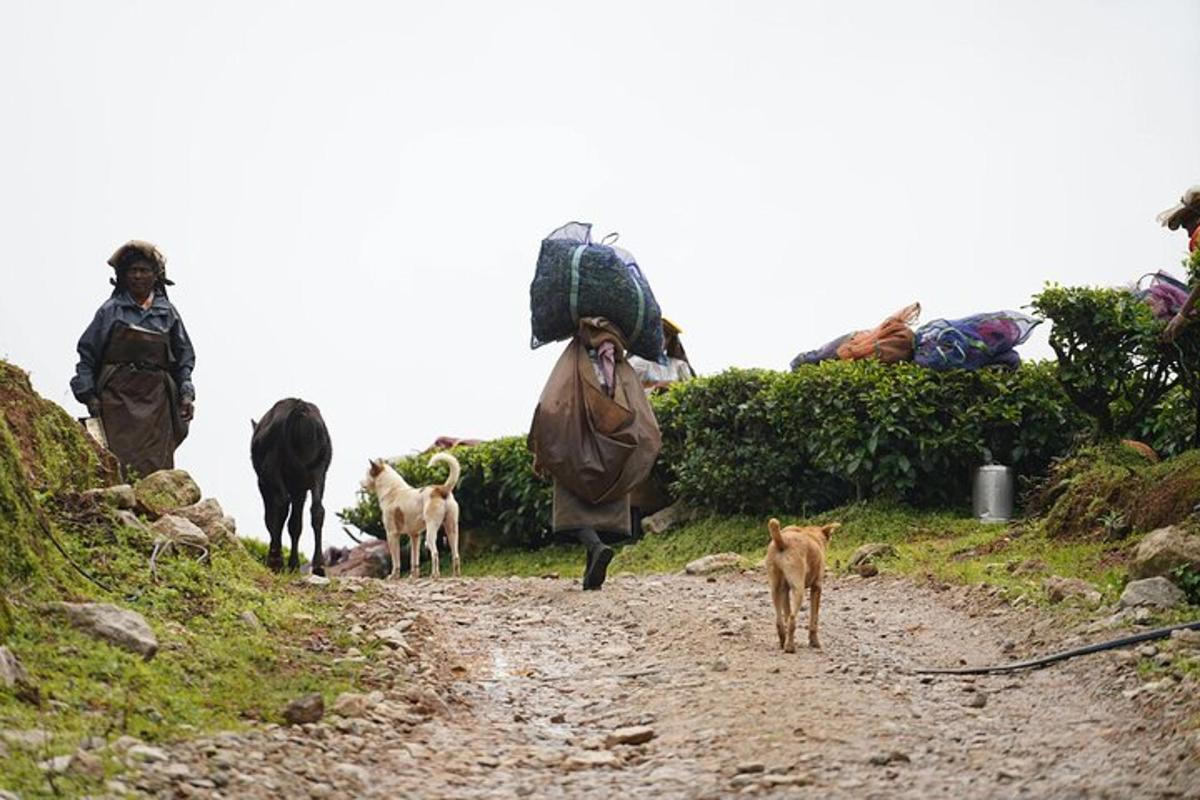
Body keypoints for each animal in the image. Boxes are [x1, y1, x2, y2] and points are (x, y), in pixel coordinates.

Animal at [763, 520, 840, 652]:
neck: (813, 536)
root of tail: (782, 541)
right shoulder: (817, 587)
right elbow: (814, 618)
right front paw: (814, 642)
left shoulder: (785, 590)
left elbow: (786, 613)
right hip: (798, 589)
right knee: (792, 618)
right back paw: (790, 647)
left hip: (775, 588)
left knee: (780, 620)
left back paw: (784, 642)